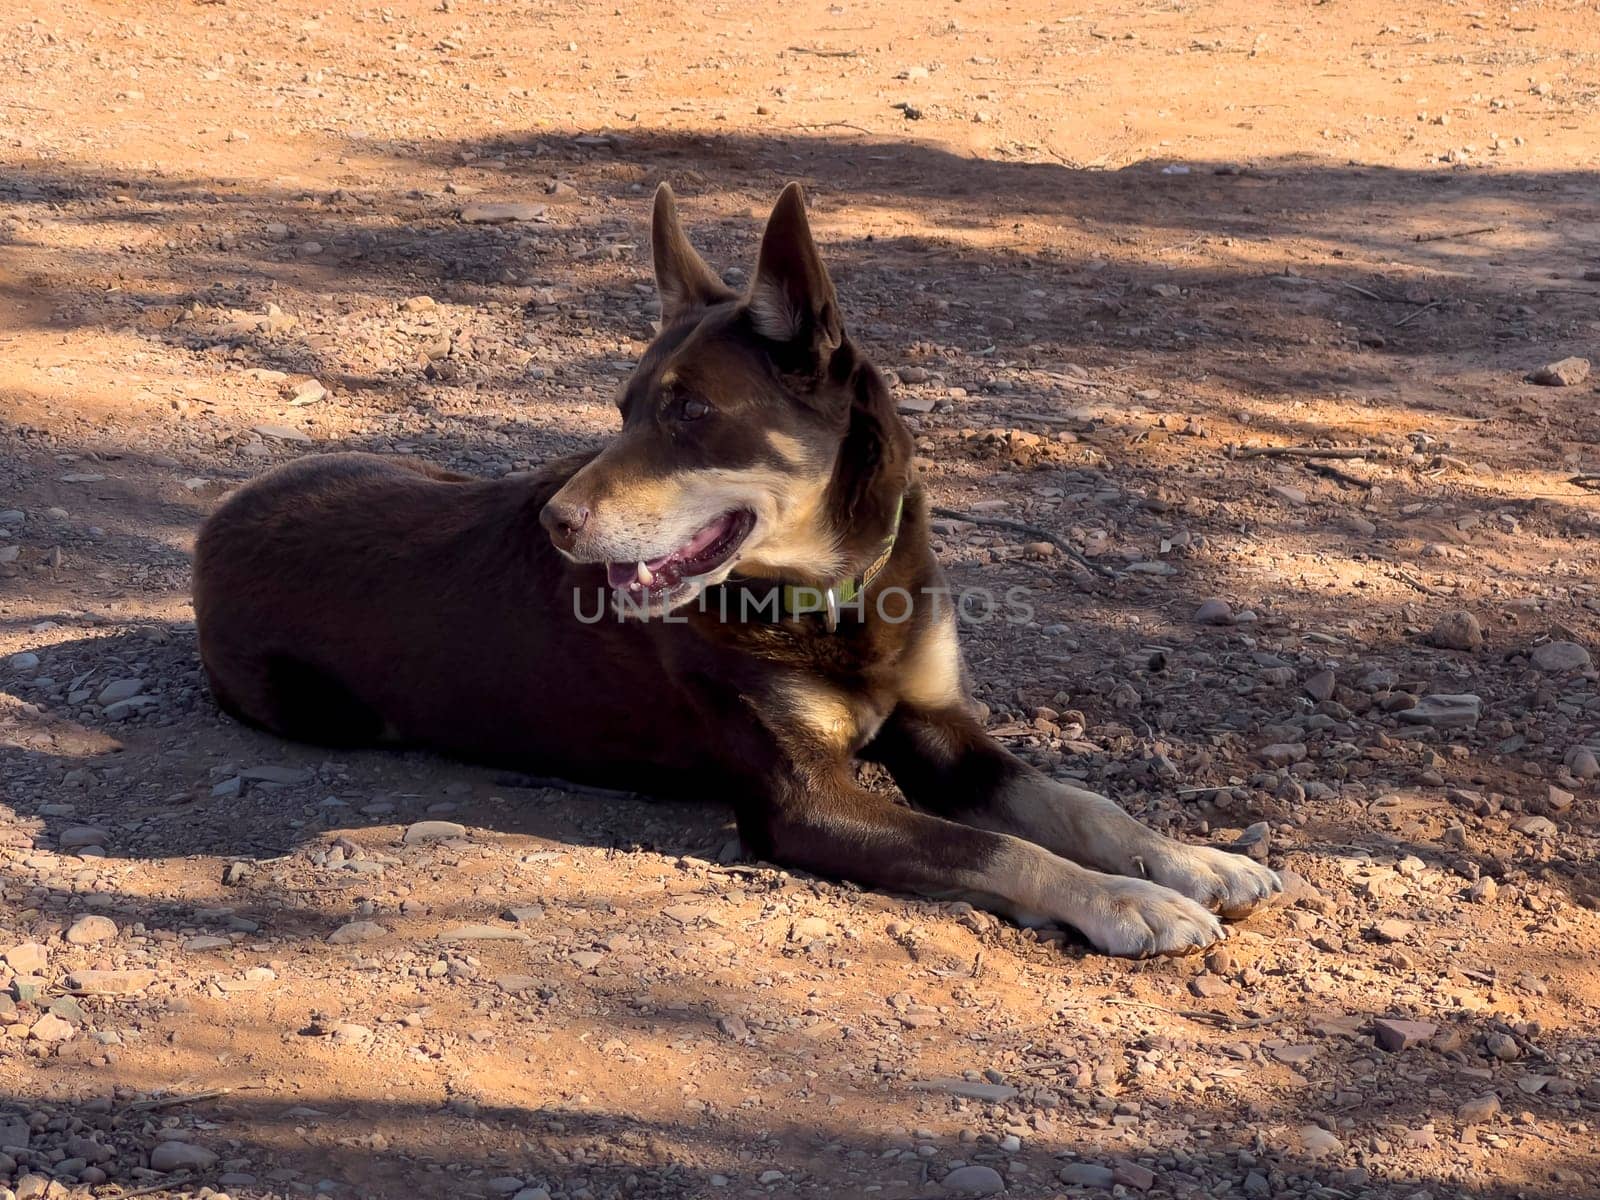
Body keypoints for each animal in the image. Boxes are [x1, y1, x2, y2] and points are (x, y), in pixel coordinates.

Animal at [193, 183, 1280, 966]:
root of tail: (214, 520)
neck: (837, 597)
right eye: (622, 409)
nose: (556, 522)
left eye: (687, 413)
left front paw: (1189, 859)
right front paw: (1128, 900)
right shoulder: (805, 801)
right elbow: (1003, 846)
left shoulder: (943, 733)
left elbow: (1077, 806)